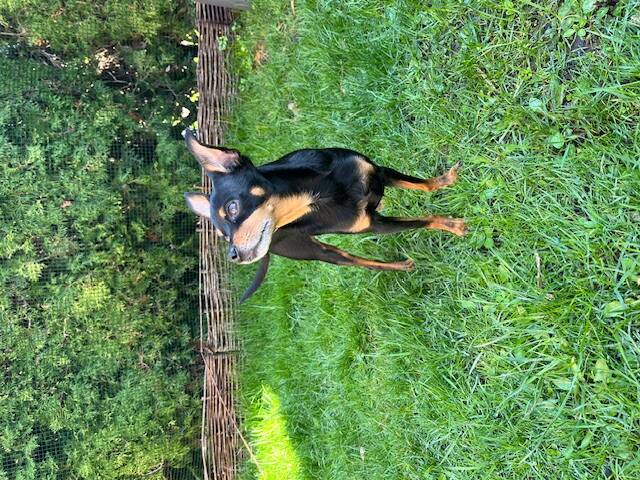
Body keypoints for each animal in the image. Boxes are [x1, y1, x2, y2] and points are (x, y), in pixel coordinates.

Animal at [183, 129, 466, 302]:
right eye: (223, 235)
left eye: (232, 208)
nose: (232, 254)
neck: (319, 194)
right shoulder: (374, 225)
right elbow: (424, 220)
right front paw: (453, 225)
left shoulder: (380, 172)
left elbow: (422, 185)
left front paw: (445, 180)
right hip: (322, 253)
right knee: (360, 262)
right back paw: (400, 266)